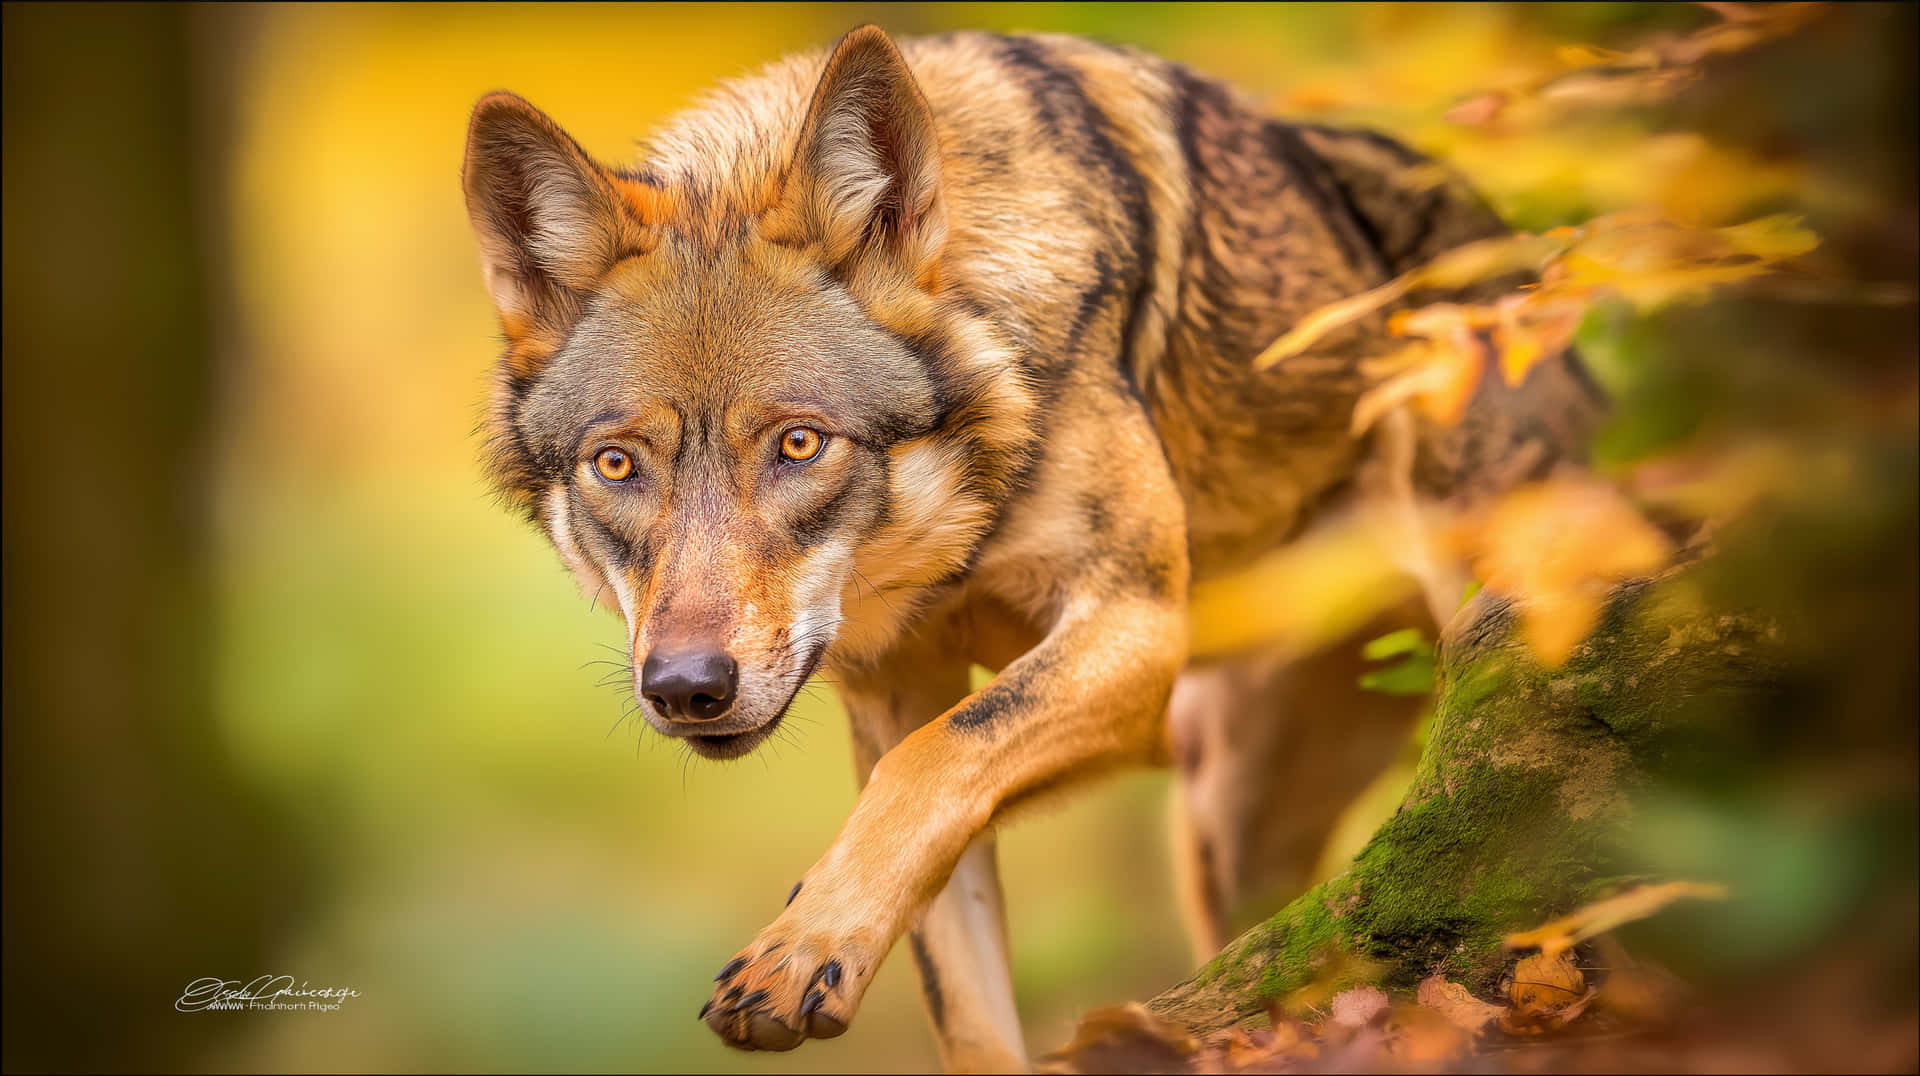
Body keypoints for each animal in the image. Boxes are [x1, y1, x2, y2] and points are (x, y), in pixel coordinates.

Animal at [462, 24, 1601, 1071]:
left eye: (798, 443)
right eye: (617, 464)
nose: (687, 686)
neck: (960, 533)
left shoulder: (1134, 631)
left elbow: (936, 759)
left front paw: (795, 946)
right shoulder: (897, 699)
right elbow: (940, 915)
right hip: (1228, 826)